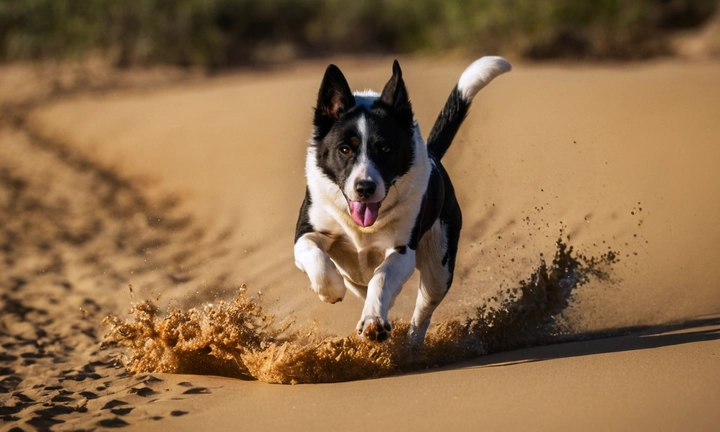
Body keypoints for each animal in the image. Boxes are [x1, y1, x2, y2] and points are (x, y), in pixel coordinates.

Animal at [294, 56, 512, 344]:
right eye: (345, 149)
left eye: (386, 148)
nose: (365, 188)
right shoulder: (309, 229)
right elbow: (312, 252)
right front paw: (331, 290)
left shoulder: (402, 250)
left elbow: (383, 277)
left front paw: (373, 322)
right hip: (356, 276)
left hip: (439, 268)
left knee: (422, 312)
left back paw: (410, 347)